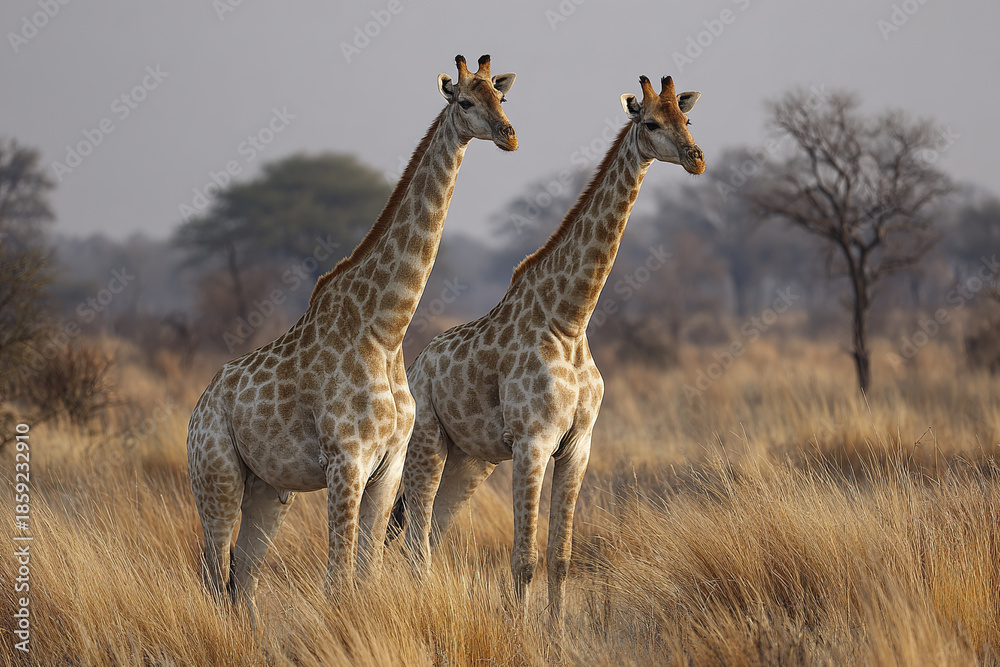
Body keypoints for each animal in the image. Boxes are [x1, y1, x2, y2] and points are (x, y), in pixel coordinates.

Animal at [186, 54, 517, 624]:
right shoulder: (346, 462)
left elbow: (367, 572)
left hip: (268, 490)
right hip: (216, 479)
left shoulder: (388, 465)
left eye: (502, 98)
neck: (384, 331)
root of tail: (195, 413)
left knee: (242, 578)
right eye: (464, 102)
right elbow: (338, 578)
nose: (508, 135)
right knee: (212, 573)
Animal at [391, 74, 703, 625]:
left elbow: (560, 556)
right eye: (650, 123)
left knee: (430, 534)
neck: (569, 321)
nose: (696, 158)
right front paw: (521, 632)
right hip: (427, 441)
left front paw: (556, 633)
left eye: (686, 118)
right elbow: (524, 558)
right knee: (415, 538)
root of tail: (417, 363)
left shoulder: (578, 444)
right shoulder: (532, 442)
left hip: (472, 460)